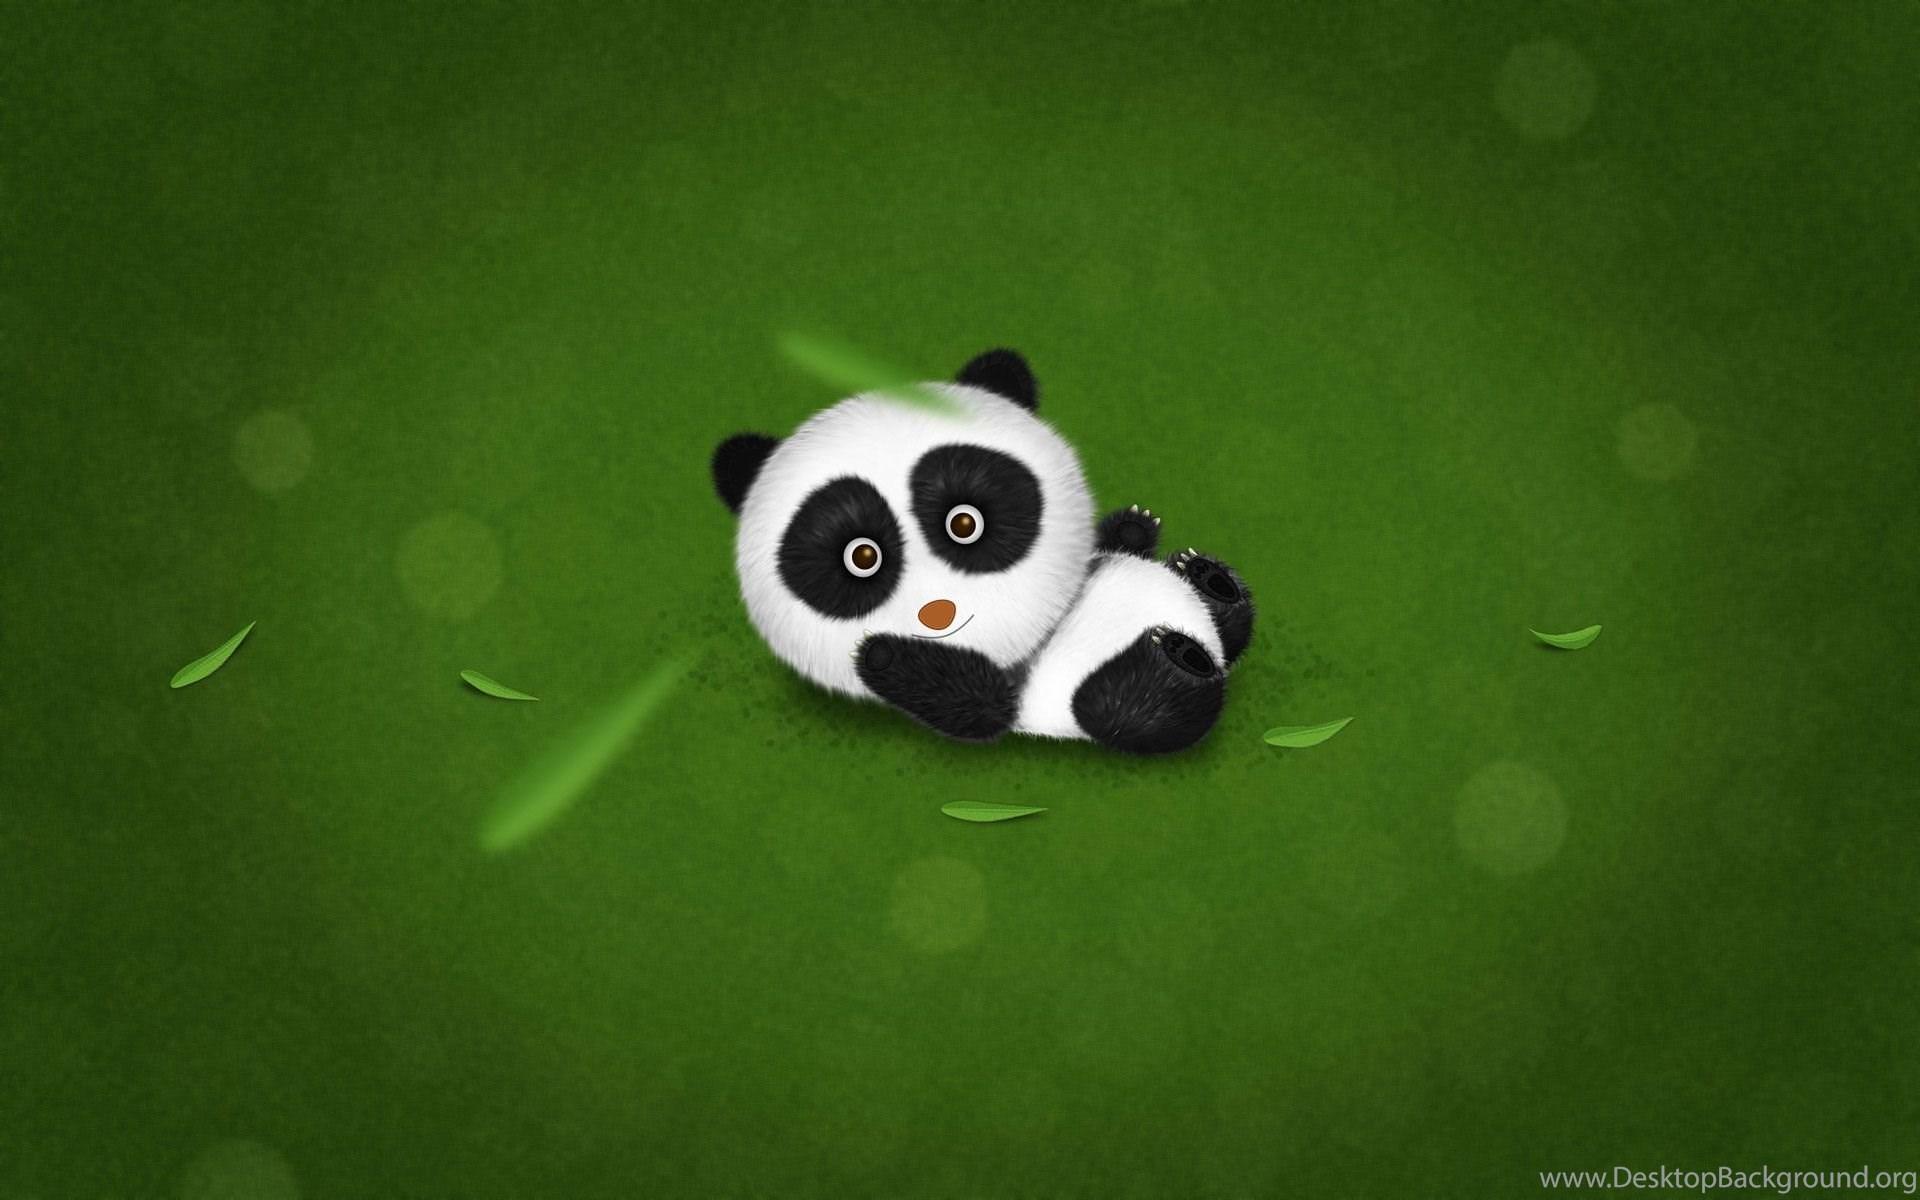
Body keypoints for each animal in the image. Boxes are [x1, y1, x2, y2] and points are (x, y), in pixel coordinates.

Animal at [710, 348, 1254, 754]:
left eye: (964, 523)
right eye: (861, 557)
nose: (937, 613)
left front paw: (1135, 526)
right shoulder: (1005, 695)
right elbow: (978, 709)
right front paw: (882, 652)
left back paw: (1204, 578)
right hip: (1099, 696)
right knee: (1136, 705)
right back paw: (1176, 651)